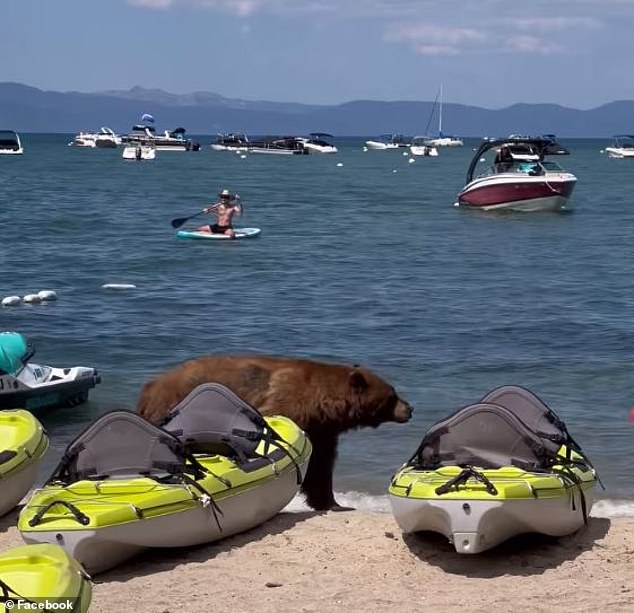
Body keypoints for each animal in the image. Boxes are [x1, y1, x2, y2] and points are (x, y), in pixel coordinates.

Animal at [136, 356, 412, 510]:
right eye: (392, 395)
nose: (409, 408)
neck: (321, 403)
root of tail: (150, 387)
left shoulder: (321, 431)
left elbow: (321, 466)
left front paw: (332, 503)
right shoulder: (286, 406)